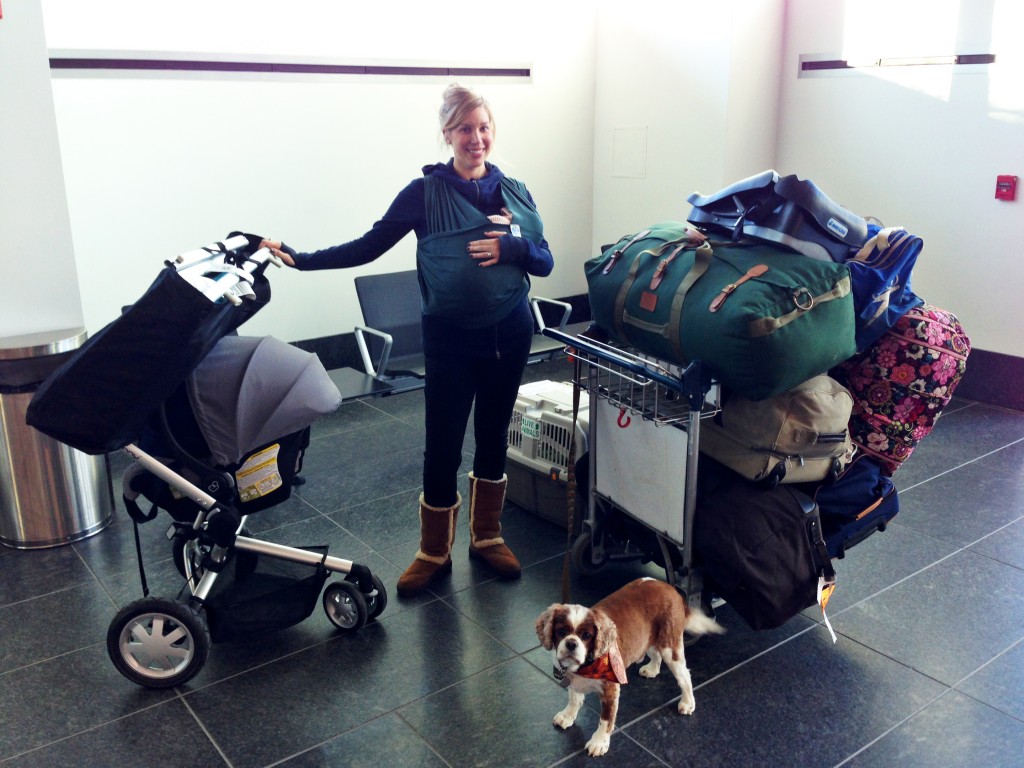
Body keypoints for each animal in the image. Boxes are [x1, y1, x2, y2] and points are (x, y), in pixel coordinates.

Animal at [536, 577, 720, 757]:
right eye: (561, 631)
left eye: (586, 635)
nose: (571, 643)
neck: (584, 667)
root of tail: (671, 589)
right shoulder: (573, 680)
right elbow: (574, 699)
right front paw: (567, 716)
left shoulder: (610, 690)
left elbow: (606, 719)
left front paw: (599, 742)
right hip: (648, 640)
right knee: (656, 655)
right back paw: (652, 669)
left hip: (670, 646)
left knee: (684, 676)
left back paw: (688, 702)